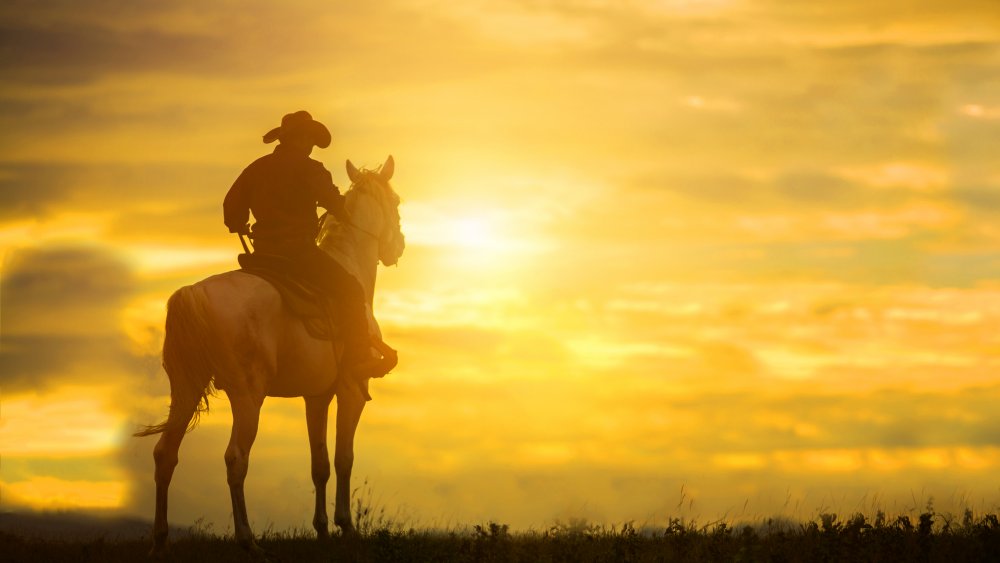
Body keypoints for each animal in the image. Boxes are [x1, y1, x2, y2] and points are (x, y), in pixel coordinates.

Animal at [135, 154, 404, 556]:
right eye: (397, 201)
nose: (397, 247)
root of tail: (194, 293)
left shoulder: (316, 396)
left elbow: (320, 463)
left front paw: (322, 530)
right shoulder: (351, 392)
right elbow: (344, 458)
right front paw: (346, 526)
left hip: (185, 390)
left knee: (165, 454)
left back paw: (160, 542)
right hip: (247, 398)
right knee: (235, 459)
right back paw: (248, 541)